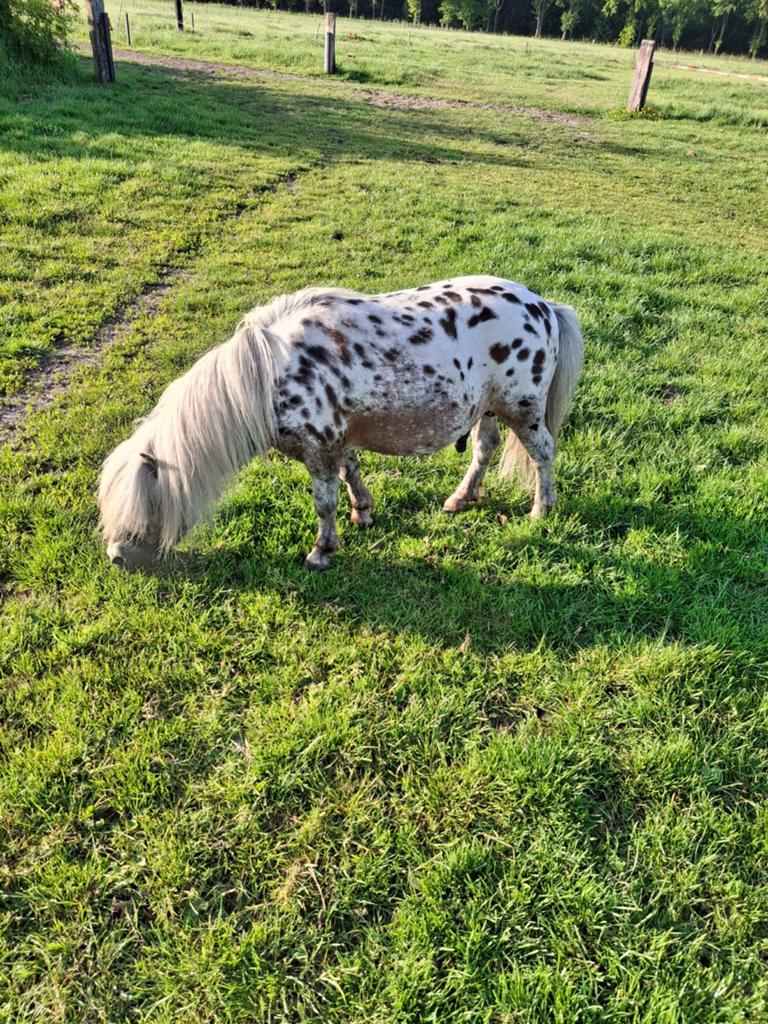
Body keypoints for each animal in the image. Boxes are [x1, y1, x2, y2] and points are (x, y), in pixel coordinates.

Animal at [98, 275, 583, 570]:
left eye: (144, 506)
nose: (116, 556)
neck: (270, 373)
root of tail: (543, 306)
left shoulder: (320, 450)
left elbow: (324, 503)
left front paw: (321, 551)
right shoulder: (339, 441)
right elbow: (352, 474)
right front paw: (362, 512)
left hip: (523, 408)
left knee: (542, 453)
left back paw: (541, 510)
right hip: (488, 409)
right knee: (484, 449)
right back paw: (460, 499)